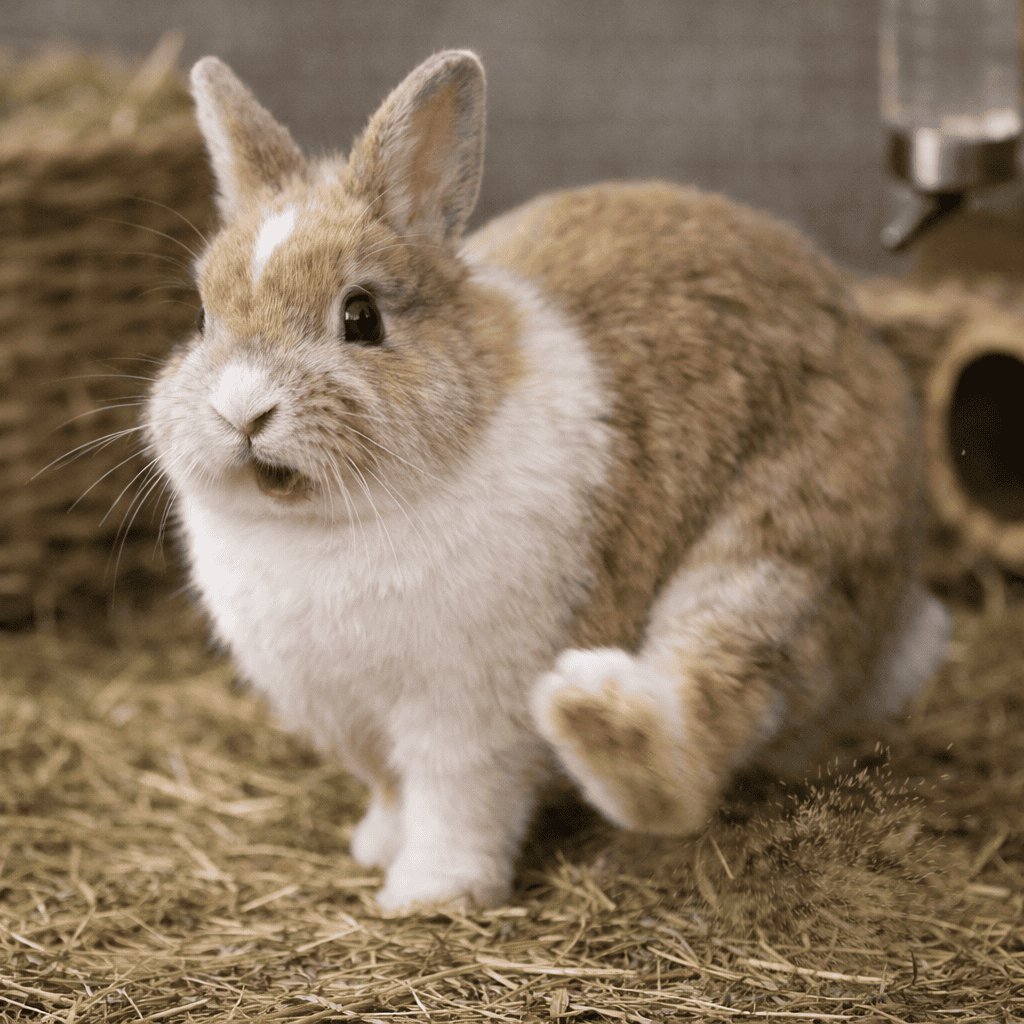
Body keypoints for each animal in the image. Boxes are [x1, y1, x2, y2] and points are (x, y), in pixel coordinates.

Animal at [145, 49, 951, 915]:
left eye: (361, 318)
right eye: (201, 318)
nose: (242, 410)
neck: (321, 524)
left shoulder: (468, 715)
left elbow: (456, 803)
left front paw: (429, 894)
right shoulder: (346, 718)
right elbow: (390, 792)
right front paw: (375, 848)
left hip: (783, 551)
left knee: (701, 737)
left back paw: (595, 716)